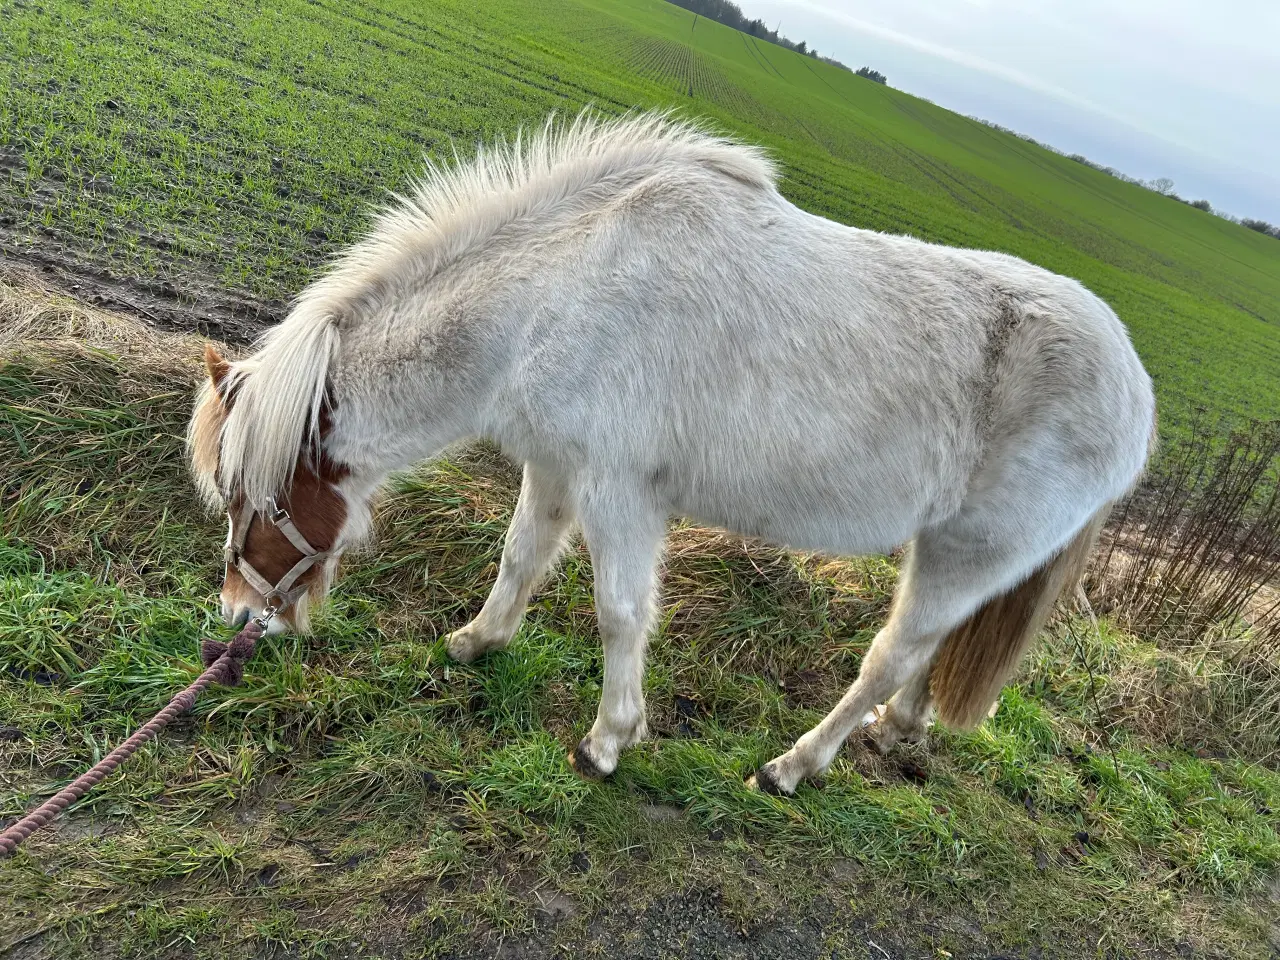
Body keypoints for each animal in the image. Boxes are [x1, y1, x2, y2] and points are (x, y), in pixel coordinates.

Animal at [189, 110, 1162, 798]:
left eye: (251, 499)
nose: (237, 618)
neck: (556, 292)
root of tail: (1136, 392)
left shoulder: (622, 493)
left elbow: (620, 612)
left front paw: (607, 742)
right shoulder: (557, 464)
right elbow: (521, 556)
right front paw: (476, 643)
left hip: (963, 553)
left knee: (891, 653)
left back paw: (794, 767)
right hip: (963, 557)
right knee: (932, 648)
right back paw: (900, 729)